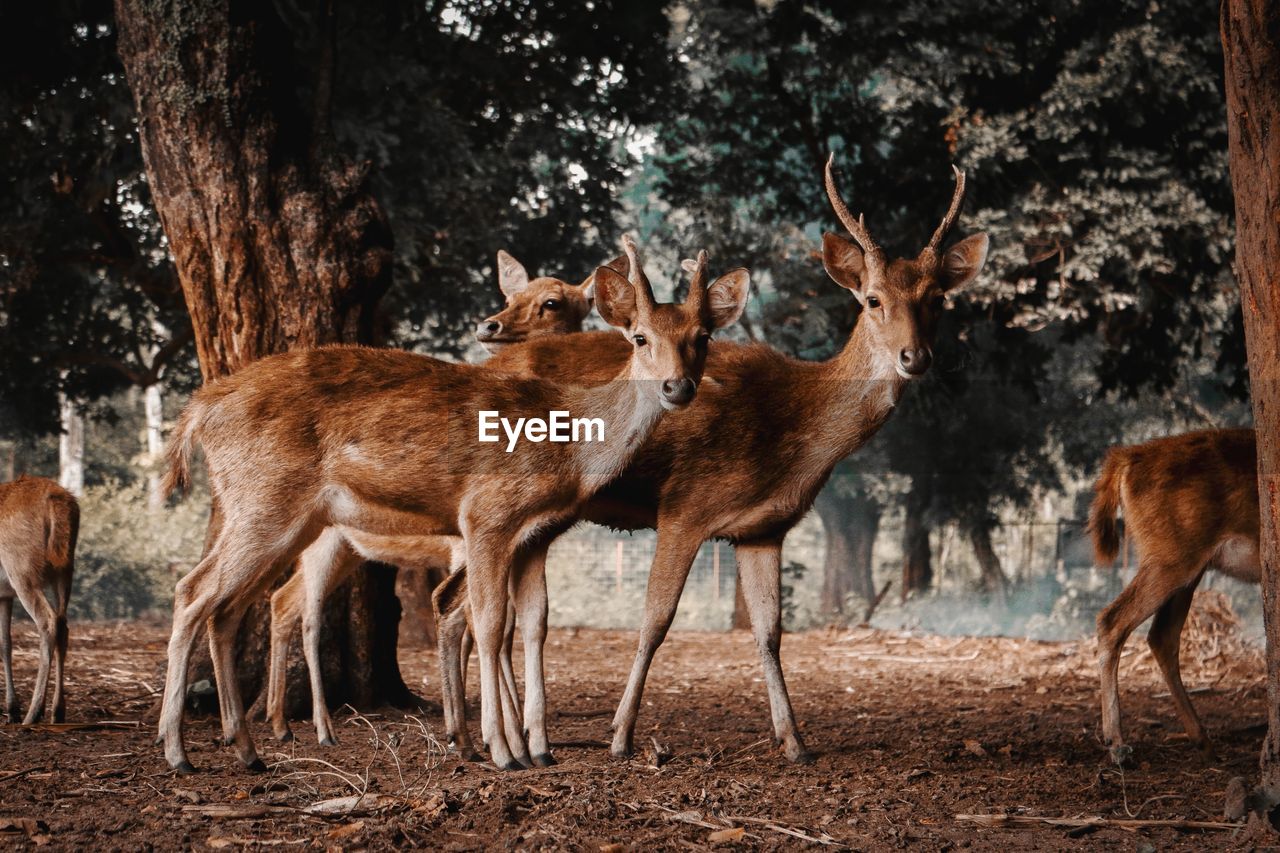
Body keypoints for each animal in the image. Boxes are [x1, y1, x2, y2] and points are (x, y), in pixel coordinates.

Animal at [0, 473, 78, 722]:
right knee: (63, 625)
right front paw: (12, 709)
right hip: (65, 568)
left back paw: (34, 712)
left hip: (22, 570)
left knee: (48, 621)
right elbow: (5, 643)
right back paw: (57, 710)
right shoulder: (4, 595)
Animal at [262, 247, 622, 742]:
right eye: (510, 295)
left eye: (552, 302)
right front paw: (487, 729)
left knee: (283, 601)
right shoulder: (464, 544)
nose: (490, 325)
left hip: (346, 551)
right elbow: (483, 622)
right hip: (323, 543)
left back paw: (280, 723)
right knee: (300, 608)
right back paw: (315, 726)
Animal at [432, 156, 988, 758]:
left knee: (463, 605)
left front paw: (794, 741)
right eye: (873, 299)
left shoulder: (763, 528)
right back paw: (491, 737)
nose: (915, 357)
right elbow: (656, 619)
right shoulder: (685, 506)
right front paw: (621, 735)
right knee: (466, 606)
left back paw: (479, 735)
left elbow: (769, 631)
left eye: (937, 300)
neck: (794, 435)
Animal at [1090, 425, 1259, 763]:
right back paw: (1118, 744)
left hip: (1189, 571)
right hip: (1171, 561)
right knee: (1113, 621)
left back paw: (1203, 741)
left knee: (1162, 635)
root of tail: (1127, 457)